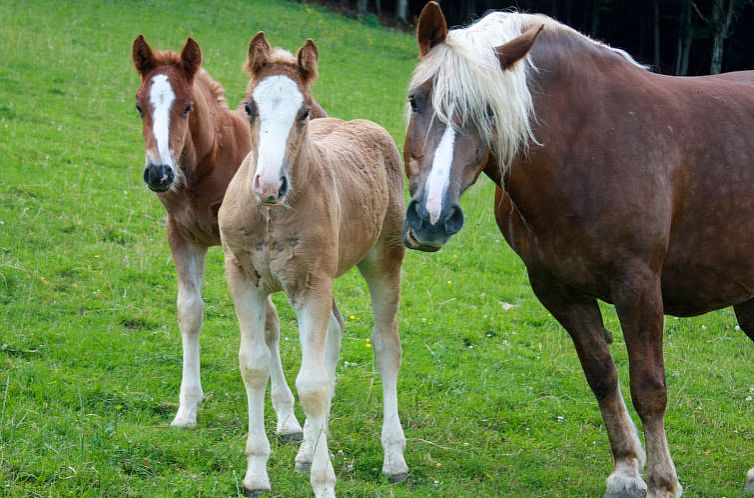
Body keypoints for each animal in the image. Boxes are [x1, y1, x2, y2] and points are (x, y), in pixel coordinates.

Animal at [131, 36, 324, 436]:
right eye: (138, 106)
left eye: (187, 107)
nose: (159, 173)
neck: (205, 166)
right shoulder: (182, 237)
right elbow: (190, 311)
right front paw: (186, 408)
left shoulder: (247, 253)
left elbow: (269, 324)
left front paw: (286, 417)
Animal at [214, 33, 408, 496]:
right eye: (249, 106)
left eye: (302, 112)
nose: (269, 183)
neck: (271, 214)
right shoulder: (242, 277)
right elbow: (254, 365)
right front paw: (256, 472)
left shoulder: (311, 284)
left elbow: (313, 386)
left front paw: (324, 483)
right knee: (335, 332)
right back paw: (305, 451)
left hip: (384, 260)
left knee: (385, 344)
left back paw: (394, 457)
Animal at [402, 1, 752, 496]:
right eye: (417, 100)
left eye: (490, 112)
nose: (431, 217)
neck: (586, 146)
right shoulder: (557, 289)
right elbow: (601, 375)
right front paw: (626, 470)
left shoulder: (638, 286)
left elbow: (649, 388)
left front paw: (662, 481)